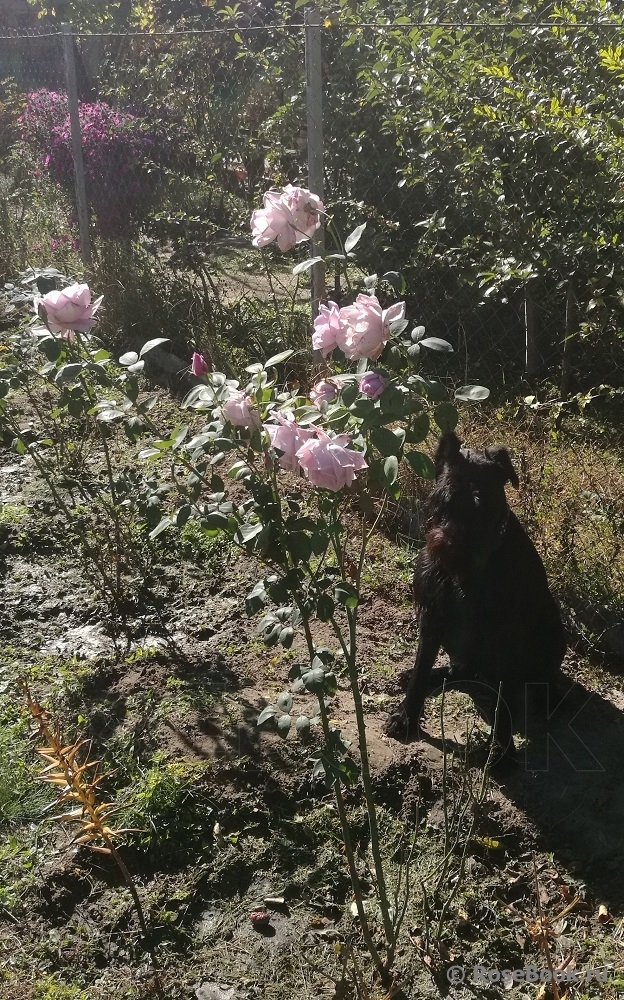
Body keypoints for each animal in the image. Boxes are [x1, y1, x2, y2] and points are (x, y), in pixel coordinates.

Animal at [386, 432, 564, 756]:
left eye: (483, 502)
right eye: (442, 498)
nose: (453, 542)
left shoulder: (505, 635)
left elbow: (504, 700)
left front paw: (502, 751)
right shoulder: (433, 616)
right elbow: (420, 669)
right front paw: (407, 715)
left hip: (554, 631)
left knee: (539, 679)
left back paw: (547, 699)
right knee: (461, 670)